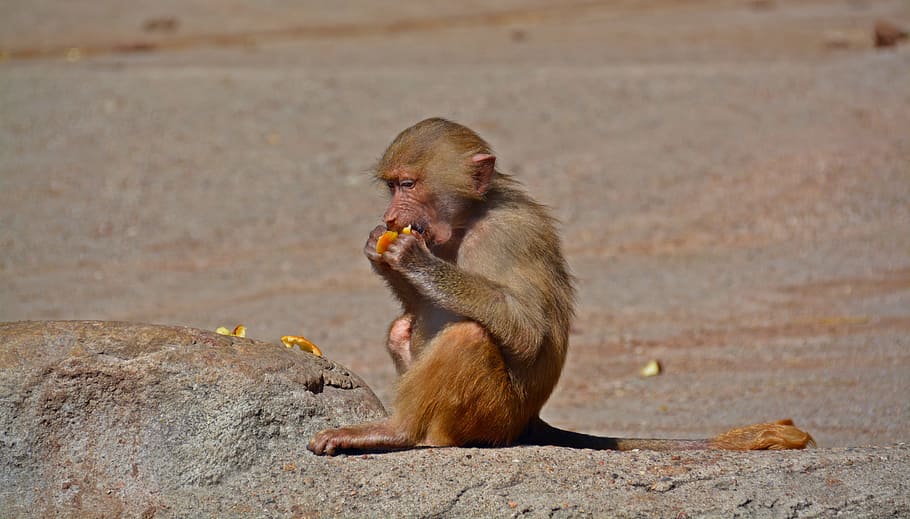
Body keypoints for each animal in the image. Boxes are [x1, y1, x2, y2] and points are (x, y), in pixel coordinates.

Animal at [307, 117, 814, 455]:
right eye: (391, 187)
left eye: (409, 184)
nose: (391, 217)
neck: (470, 217)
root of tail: (530, 424)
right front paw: (378, 247)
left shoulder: (506, 236)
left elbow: (527, 329)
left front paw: (410, 257)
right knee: (402, 329)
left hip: (495, 417)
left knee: (468, 337)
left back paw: (400, 433)